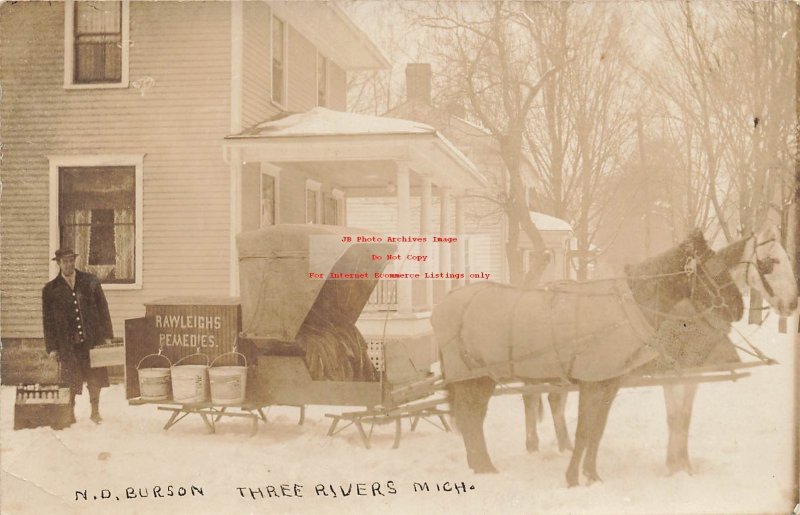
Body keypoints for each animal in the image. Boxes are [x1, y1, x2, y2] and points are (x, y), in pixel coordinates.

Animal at [432, 230, 744, 488]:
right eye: (714, 269)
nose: (739, 307)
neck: (627, 307)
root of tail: (444, 304)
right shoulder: (591, 381)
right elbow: (584, 431)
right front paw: (572, 477)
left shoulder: (609, 383)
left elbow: (597, 432)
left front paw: (592, 475)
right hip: (473, 375)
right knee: (472, 418)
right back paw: (485, 465)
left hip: (480, 377)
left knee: (473, 419)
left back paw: (481, 465)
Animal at [516, 224, 796, 478]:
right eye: (773, 262)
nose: (792, 303)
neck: (688, 309)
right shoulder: (672, 374)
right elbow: (675, 417)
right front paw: (674, 466)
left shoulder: (692, 374)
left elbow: (685, 417)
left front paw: (683, 465)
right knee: (532, 397)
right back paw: (534, 444)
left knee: (554, 399)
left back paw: (563, 445)